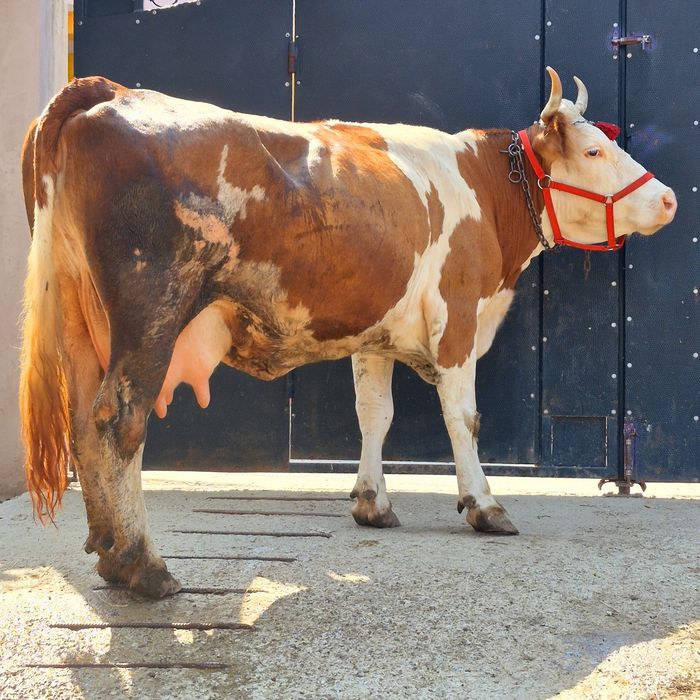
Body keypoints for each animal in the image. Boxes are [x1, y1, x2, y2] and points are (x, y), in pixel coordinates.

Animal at [19, 67, 676, 598]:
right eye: (593, 151)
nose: (669, 199)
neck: (484, 188)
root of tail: (113, 90)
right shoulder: (458, 316)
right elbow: (462, 418)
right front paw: (484, 505)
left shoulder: (374, 335)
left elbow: (374, 414)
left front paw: (371, 502)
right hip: (150, 309)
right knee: (120, 422)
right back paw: (142, 565)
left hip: (81, 320)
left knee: (85, 424)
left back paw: (110, 554)